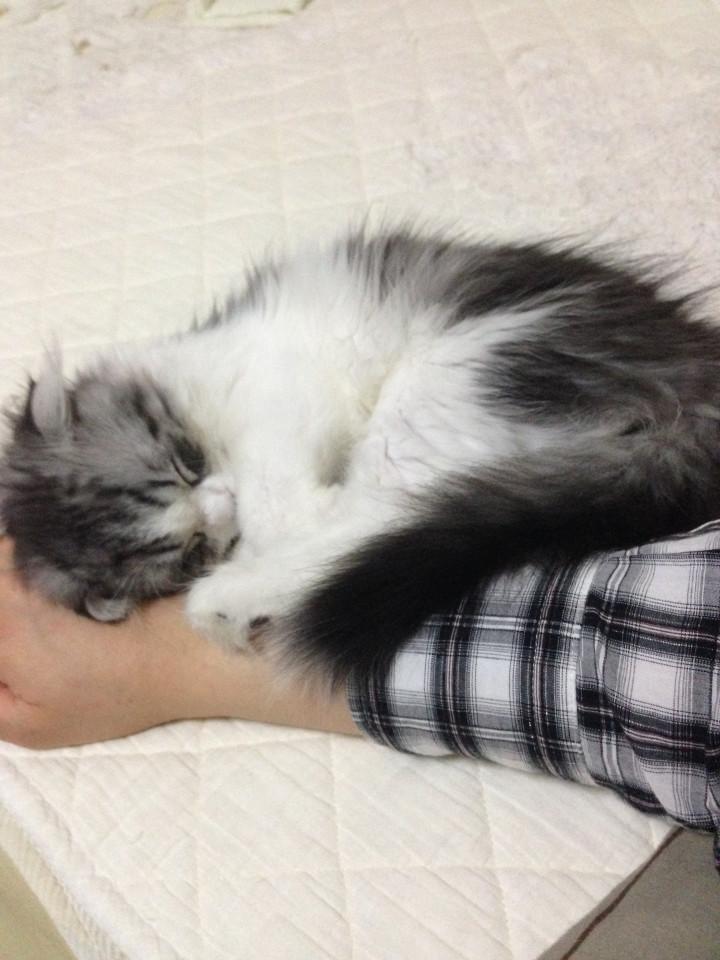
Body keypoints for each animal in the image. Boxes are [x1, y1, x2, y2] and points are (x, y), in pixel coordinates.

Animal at [2, 226, 720, 688]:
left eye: (185, 464)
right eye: (188, 548)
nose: (219, 504)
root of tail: (694, 380)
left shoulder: (277, 390)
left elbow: (281, 500)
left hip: (455, 378)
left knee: (376, 517)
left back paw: (224, 601)